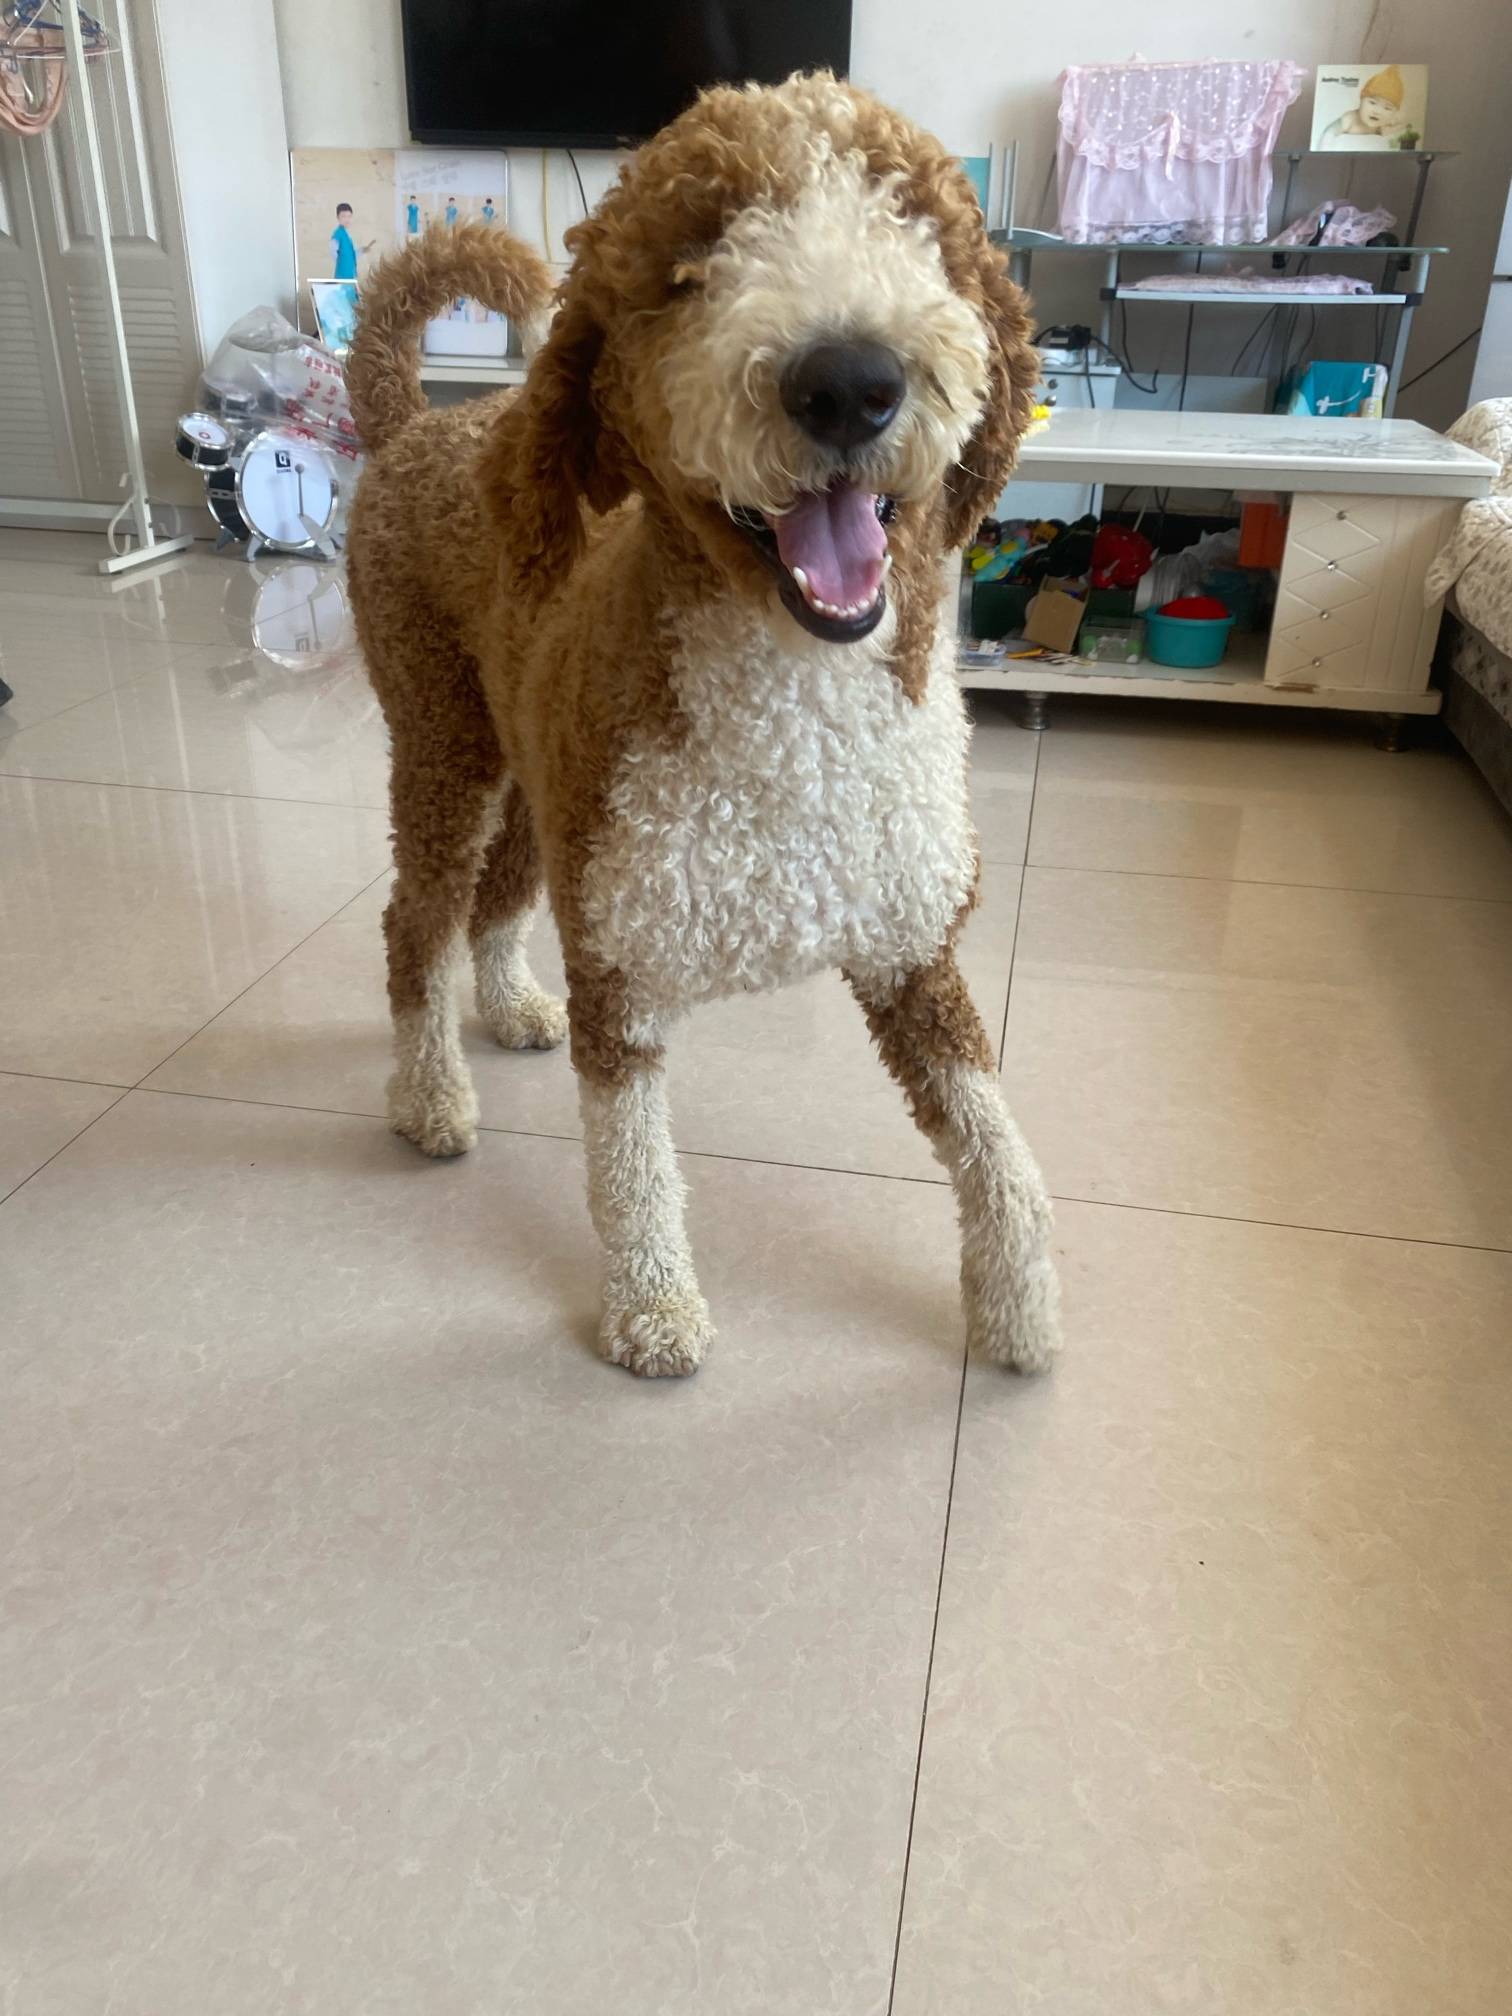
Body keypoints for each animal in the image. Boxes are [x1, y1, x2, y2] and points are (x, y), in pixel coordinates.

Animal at [345, 72, 1060, 1379]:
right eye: (694, 259)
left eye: (915, 225)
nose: (849, 379)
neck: (799, 704)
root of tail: (417, 421)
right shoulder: (624, 975)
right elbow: (630, 1165)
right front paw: (653, 1308)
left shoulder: (911, 950)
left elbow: (1000, 1143)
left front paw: (1020, 1302)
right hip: (445, 747)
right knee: (415, 921)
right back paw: (429, 1098)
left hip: (548, 789)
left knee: (494, 900)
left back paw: (511, 1007)